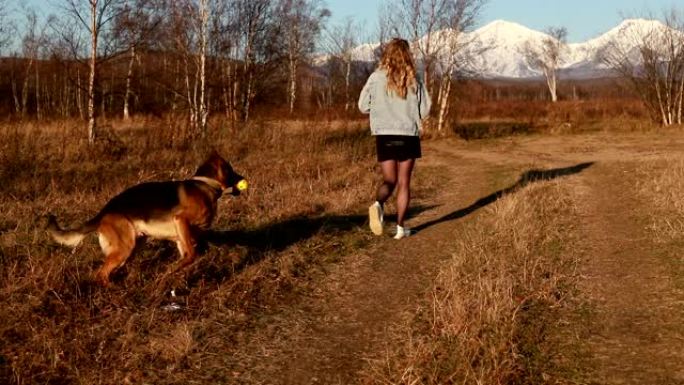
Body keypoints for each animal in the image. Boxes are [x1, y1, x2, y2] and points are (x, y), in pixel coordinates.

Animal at [46, 150, 247, 284]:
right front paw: (169, 272)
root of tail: (105, 211)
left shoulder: (182, 237)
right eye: (231, 170)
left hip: (132, 247)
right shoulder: (181, 220)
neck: (206, 184)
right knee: (101, 274)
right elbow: (191, 255)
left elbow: (188, 256)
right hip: (124, 248)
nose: (244, 179)